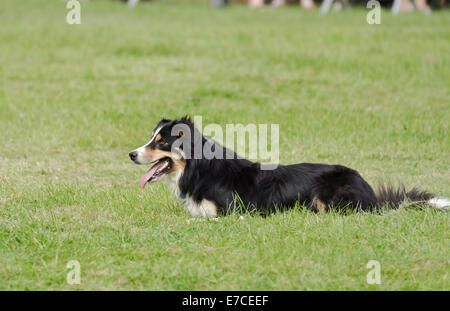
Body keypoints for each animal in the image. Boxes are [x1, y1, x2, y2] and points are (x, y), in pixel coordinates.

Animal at [128, 116, 448, 217]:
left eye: (161, 142)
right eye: (151, 138)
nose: (131, 154)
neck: (198, 167)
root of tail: (370, 193)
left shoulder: (230, 212)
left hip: (326, 193)